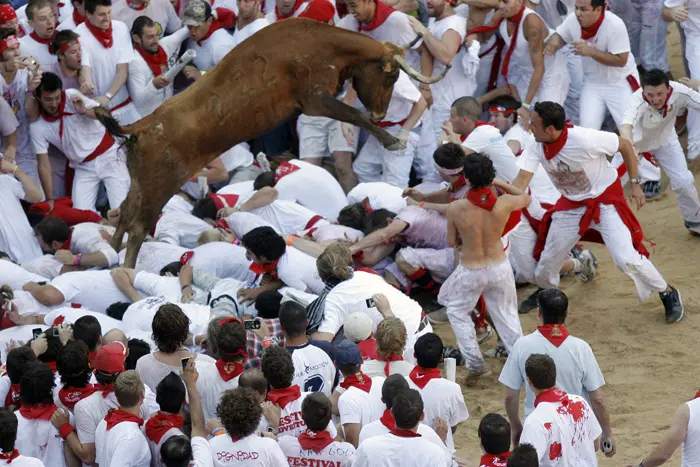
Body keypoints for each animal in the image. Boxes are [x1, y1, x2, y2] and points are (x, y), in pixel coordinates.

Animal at [94, 18, 448, 266]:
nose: (380, 112)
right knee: (138, 227)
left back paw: (108, 258)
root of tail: (140, 127)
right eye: (391, 76)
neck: (324, 43)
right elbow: (353, 114)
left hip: (140, 184)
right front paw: (391, 140)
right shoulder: (315, 99)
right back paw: (124, 270)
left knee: (124, 216)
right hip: (160, 187)